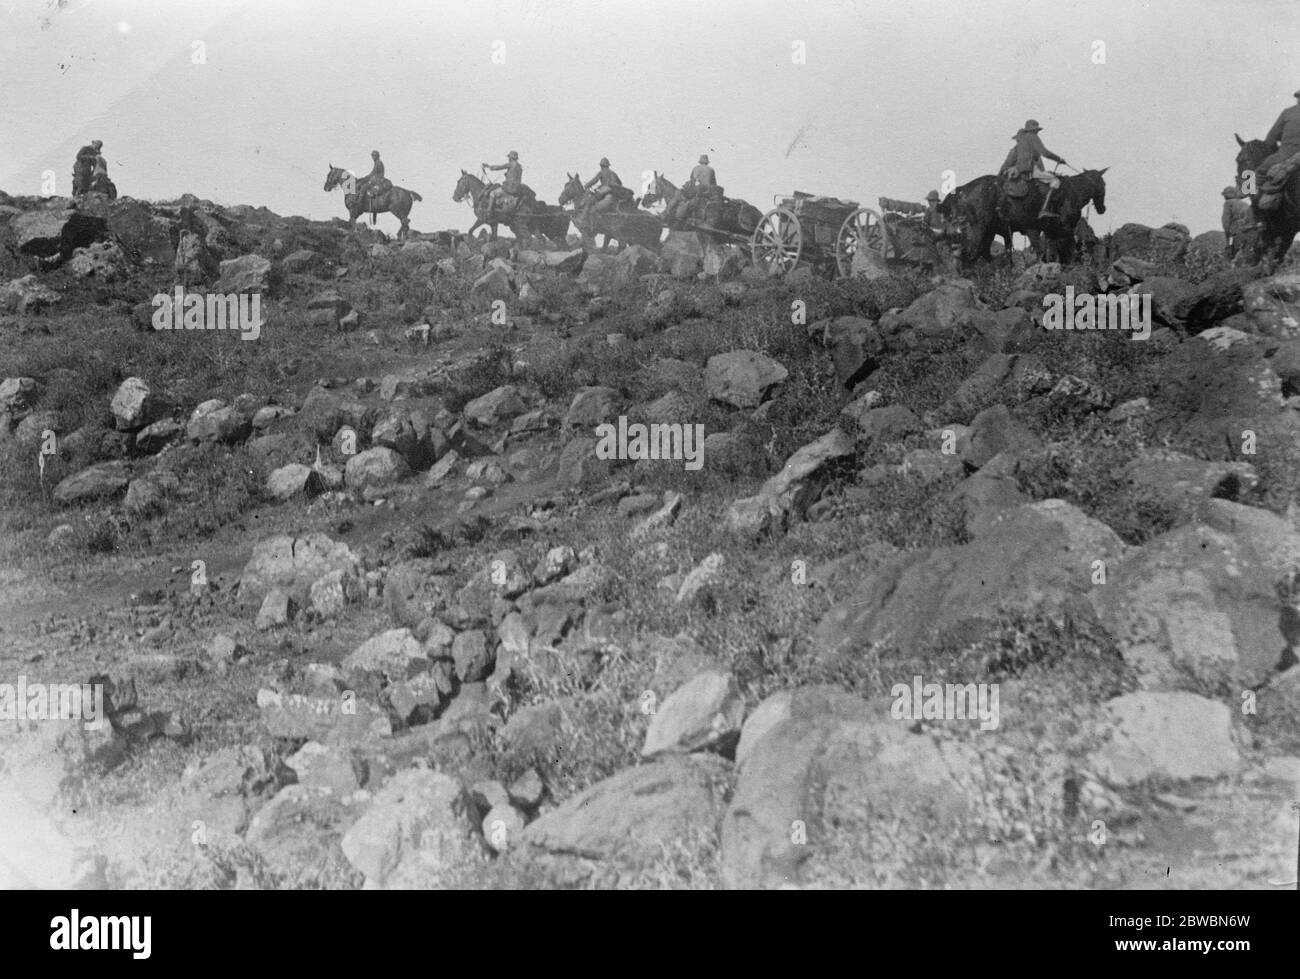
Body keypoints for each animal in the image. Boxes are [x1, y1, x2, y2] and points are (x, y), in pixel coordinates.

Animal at [941, 167, 1112, 265]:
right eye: (1103, 184)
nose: (1103, 208)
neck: (1073, 191)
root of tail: (961, 190)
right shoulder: (1063, 229)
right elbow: (1065, 250)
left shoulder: (1048, 231)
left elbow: (1051, 253)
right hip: (978, 231)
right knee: (970, 255)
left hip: (988, 233)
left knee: (981, 254)